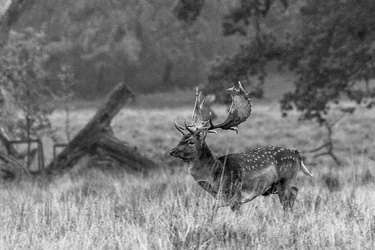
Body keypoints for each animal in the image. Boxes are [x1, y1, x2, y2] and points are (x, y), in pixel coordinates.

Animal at [170, 81, 314, 211]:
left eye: (191, 141)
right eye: (181, 139)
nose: (172, 151)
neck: (216, 174)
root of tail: (296, 154)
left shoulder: (235, 196)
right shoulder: (221, 198)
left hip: (286, 178)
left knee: (288, 199)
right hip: (279, 185)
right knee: (295, 190)